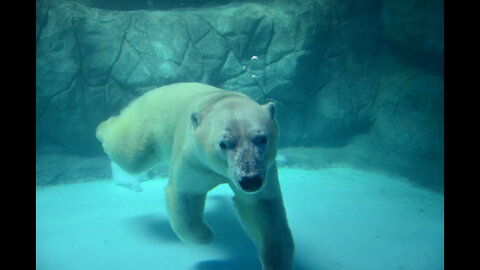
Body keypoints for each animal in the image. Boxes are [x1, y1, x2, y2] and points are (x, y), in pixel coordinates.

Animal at [96, 82, 294, 270]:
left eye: (262, 138)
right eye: (224, 143)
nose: (250, 180)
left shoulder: (266, 170)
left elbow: (263, 208)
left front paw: (277, 259)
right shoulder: (193, 159)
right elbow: (185, 195)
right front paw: (206, 235)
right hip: (149, 120)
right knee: (131, 155)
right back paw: (102, 127)